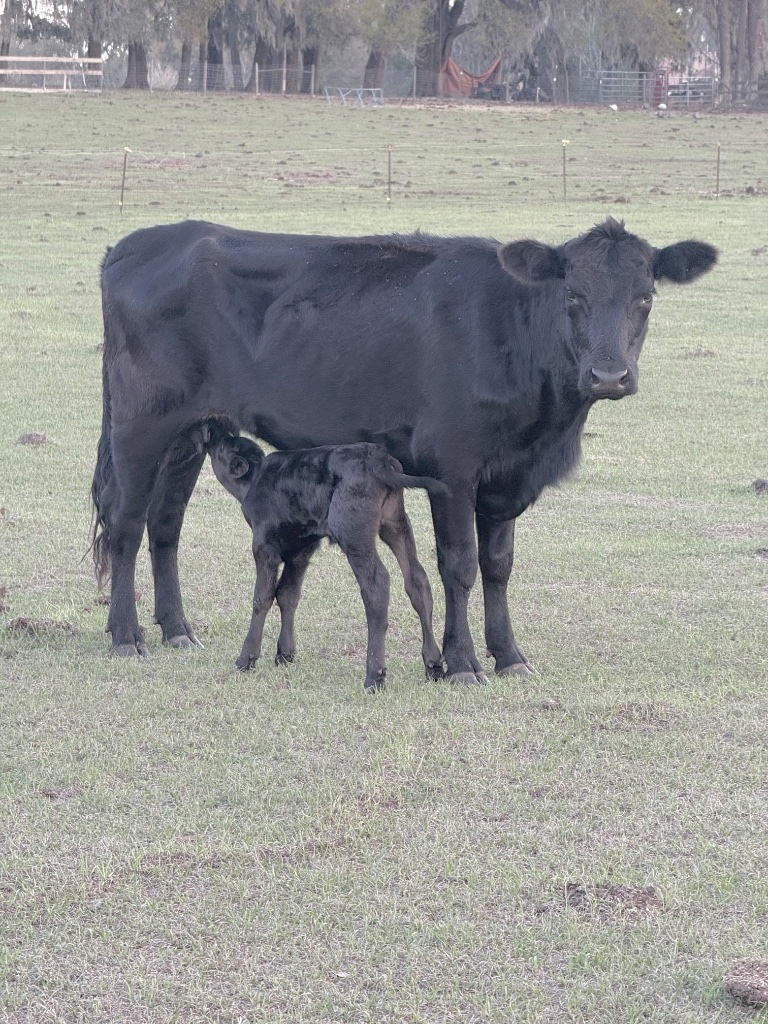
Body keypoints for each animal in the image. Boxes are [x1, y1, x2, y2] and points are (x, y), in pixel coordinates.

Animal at [206, 430, 446, 691]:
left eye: (223, 446)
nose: (213, 433)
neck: (255, 481)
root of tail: (378, 458)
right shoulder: (302, 548)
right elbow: (288, 594)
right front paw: (285, 655)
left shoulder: (264, 545)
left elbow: (263, 597)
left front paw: (246, 659)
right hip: (395, 524)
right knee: (417, 579)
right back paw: (434, 664)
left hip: (352, 532)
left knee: (377, 583)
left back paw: (374, 676)